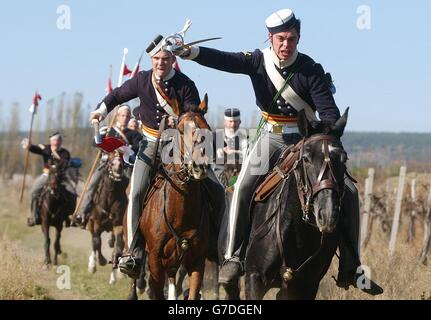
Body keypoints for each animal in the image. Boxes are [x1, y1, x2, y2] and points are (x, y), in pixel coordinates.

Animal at [87, 149, 129, 284]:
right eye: (110, 161)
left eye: (121, 159)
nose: (118, 167)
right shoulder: (95, 222)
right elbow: (96, 242)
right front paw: (98, 262)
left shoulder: (118, 225)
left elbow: (118, 247)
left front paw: (113, 278)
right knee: (94, 241)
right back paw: (92, 263)